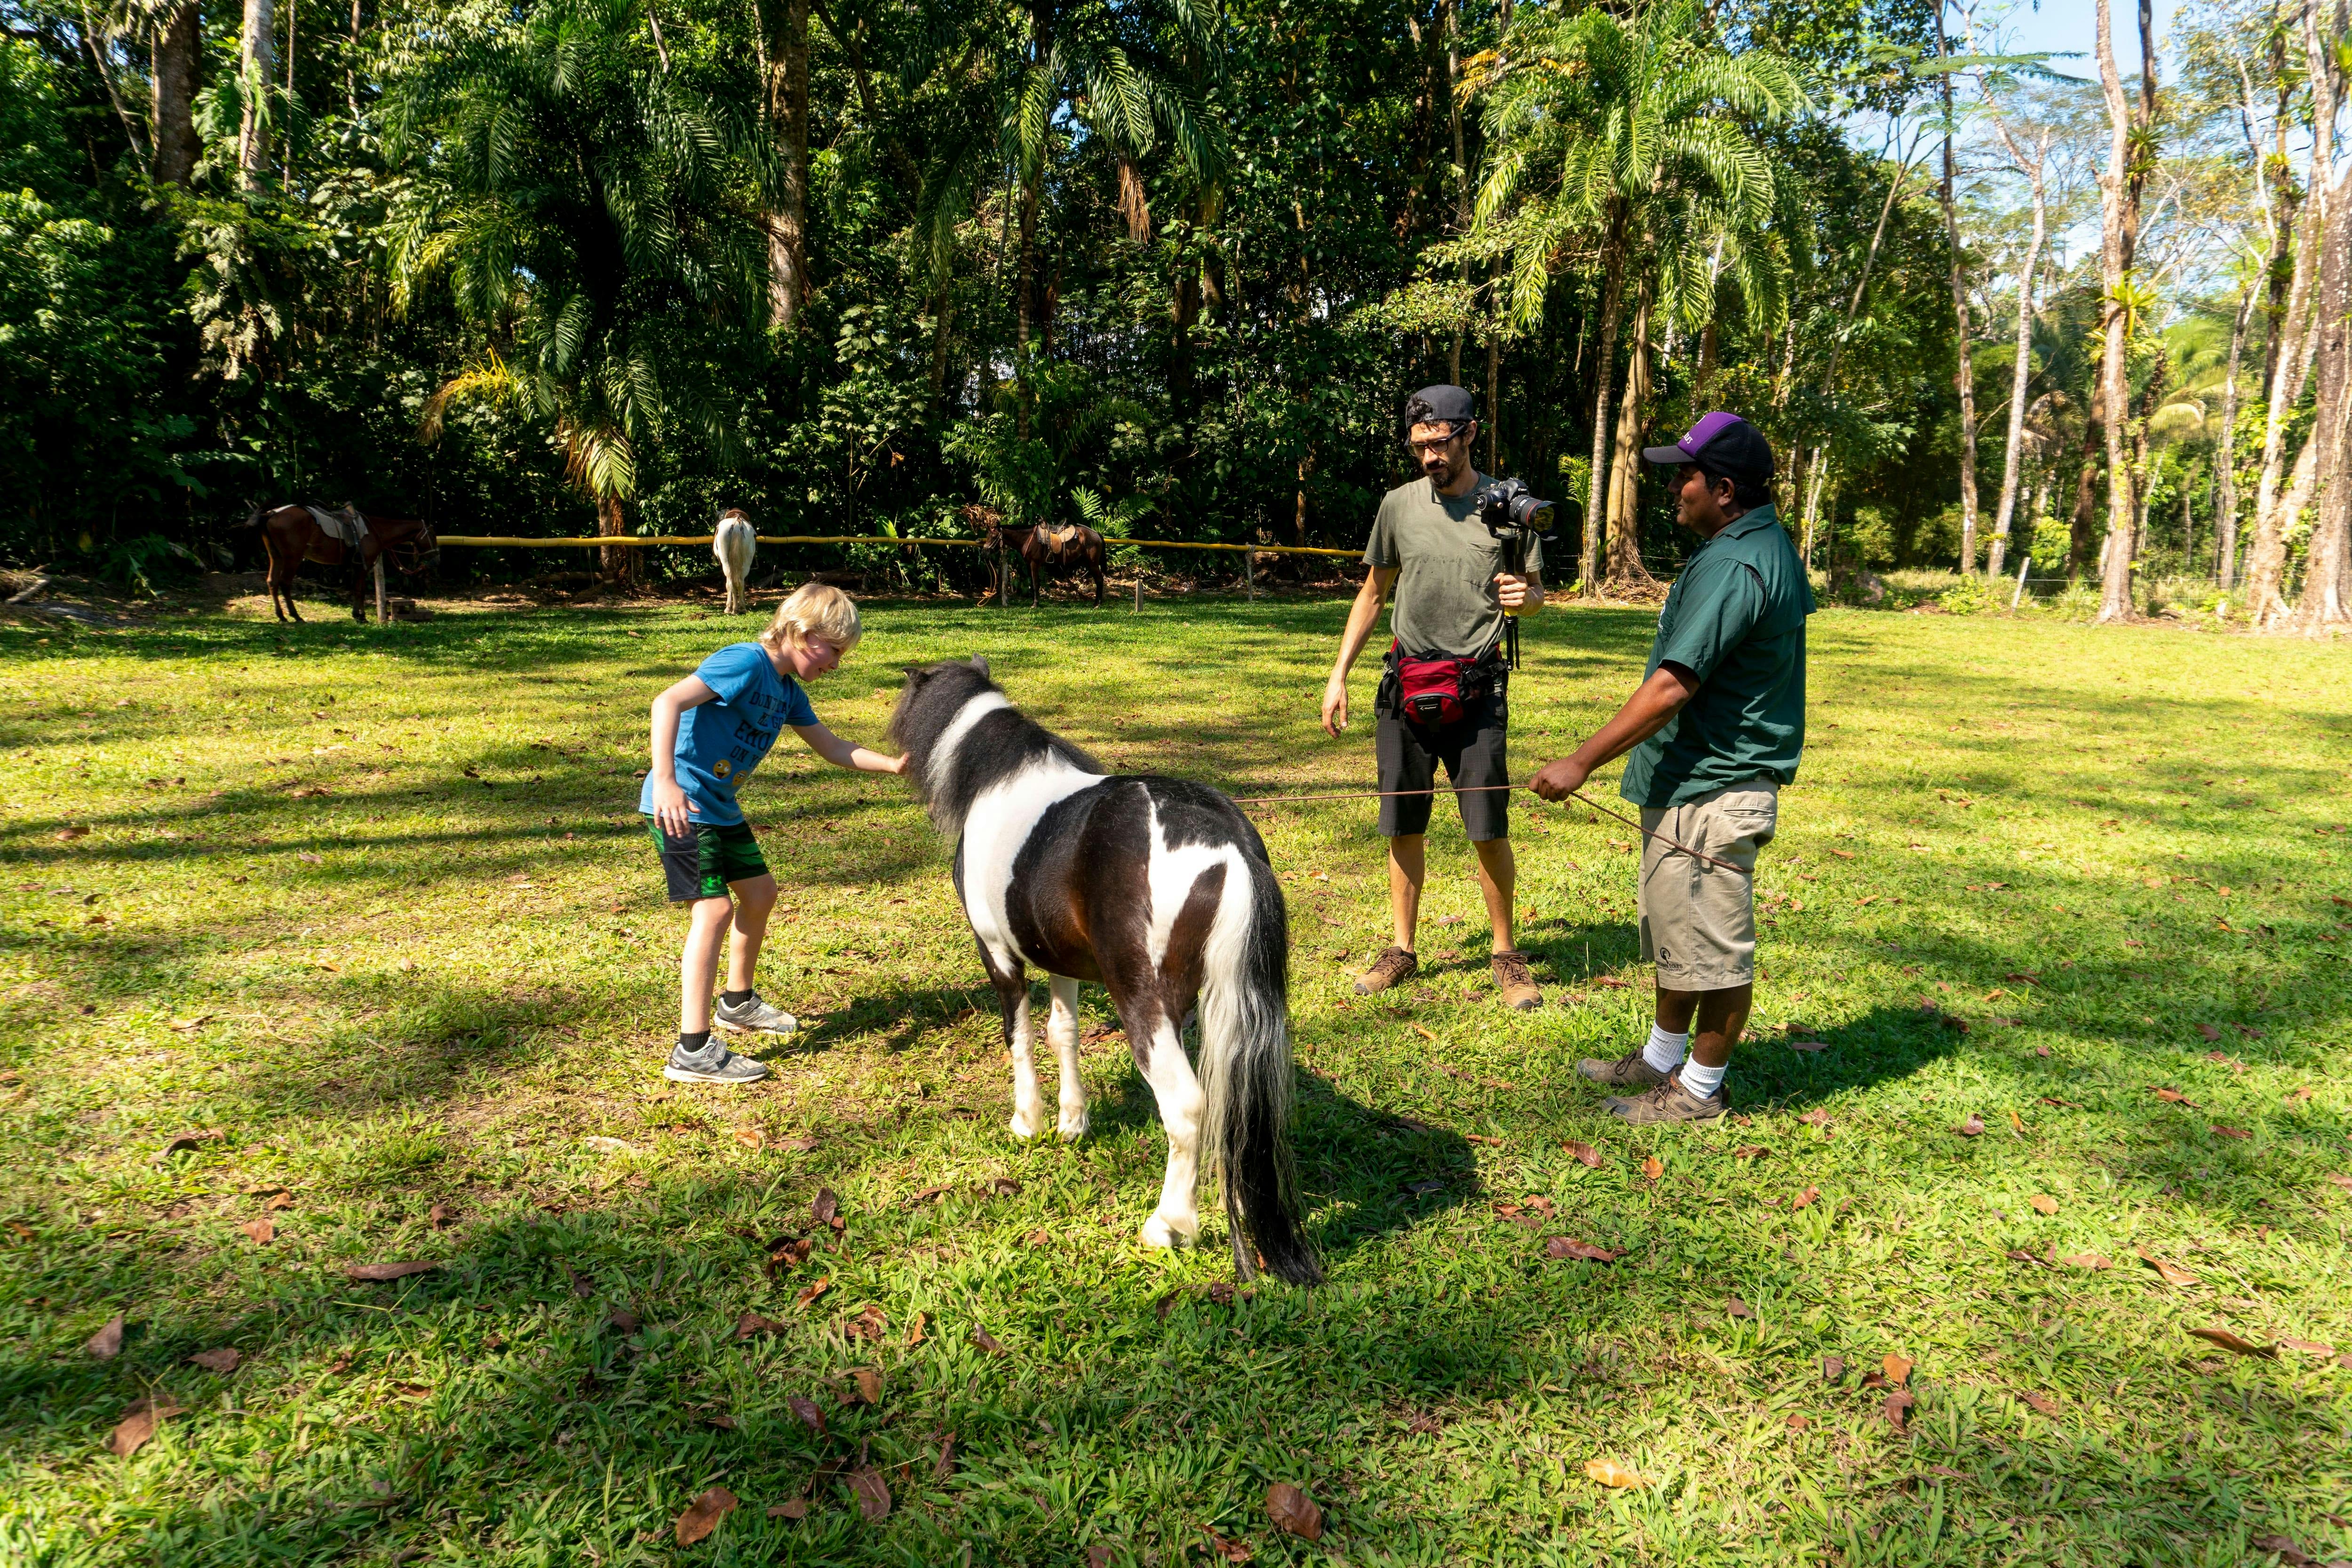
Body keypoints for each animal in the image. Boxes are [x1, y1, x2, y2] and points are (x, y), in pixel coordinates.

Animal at [253, 505, 442, 621]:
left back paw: (281, 616)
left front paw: (357, 614)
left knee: (272, 582)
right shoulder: (363, 566)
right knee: (285, 583)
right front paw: (361, 616)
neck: (375, 530)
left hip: (276, 557)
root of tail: (271, 514)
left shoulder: (355, 566)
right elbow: (361, 590)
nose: (437, 559)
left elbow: (356, 590)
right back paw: (295, 616)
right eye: (433, 535)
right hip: (293, 558)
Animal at [710, 512, 757, 616]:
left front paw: (729, 608)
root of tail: (736, 526)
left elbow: (728, 586)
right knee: (741, 583)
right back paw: (742, 608)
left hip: (726, 563)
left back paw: (732, 609)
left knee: (731, 584)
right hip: (746, 564)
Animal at [889, 658, 1327, 1279]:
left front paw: (1029, 1122)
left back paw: (1170, 1225)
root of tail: (1228, 846)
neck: (999, 785)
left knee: (1187, 1107)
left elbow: (1019, 1036)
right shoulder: (1060, 960)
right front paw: (1072, 1121)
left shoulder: (998, 954)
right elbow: (1063, 1033)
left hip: (1144, 1006)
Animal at [983, 522, 1110, 606]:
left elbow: (1036, 584)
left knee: (1100, 580)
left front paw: (1035, 604)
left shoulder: (1035, 564)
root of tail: (1097, 535)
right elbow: (1033, 584)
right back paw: (1096, 602)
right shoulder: (1029, 564)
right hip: (1088, 564)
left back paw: (1098, 604)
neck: (1028, 539)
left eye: (994, 536)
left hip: (1093, 564)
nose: (985, 552)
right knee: (1098, 580)